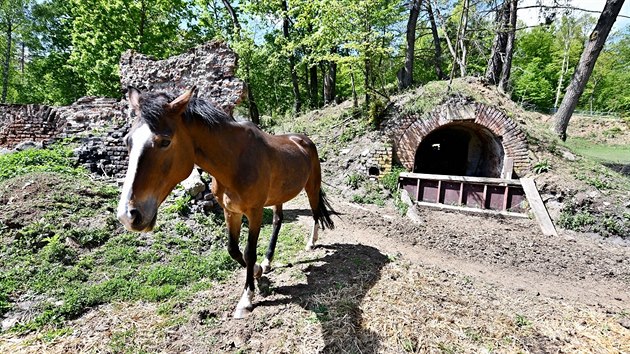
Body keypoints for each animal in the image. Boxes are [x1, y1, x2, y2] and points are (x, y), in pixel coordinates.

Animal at [118, 85, 336, 318]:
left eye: (165, 141)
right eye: (127, 141)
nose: (128, 215)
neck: (235, 162)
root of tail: (303, 140)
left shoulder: (254, 212)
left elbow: (249, 252)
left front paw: (246, 299)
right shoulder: (231, 211)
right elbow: (233, 249)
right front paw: (257, 270)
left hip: (311, 187)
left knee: (315, 212)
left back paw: (311, 242)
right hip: (279, 196)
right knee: (278, 221)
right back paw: (267, 262)